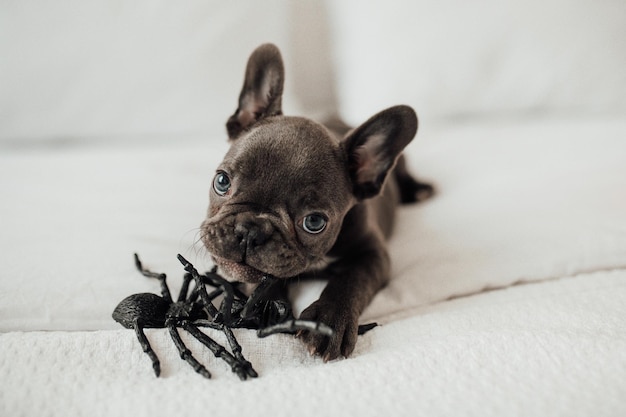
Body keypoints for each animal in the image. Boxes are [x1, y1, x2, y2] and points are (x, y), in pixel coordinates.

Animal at [202, 43, 432, 360]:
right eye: (222, 181)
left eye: (314, 222)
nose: (249, 231)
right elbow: (263, 278)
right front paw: (266, 305)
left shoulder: (373, 254)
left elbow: (351, 279)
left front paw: (328, 321)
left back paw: (420, 190)